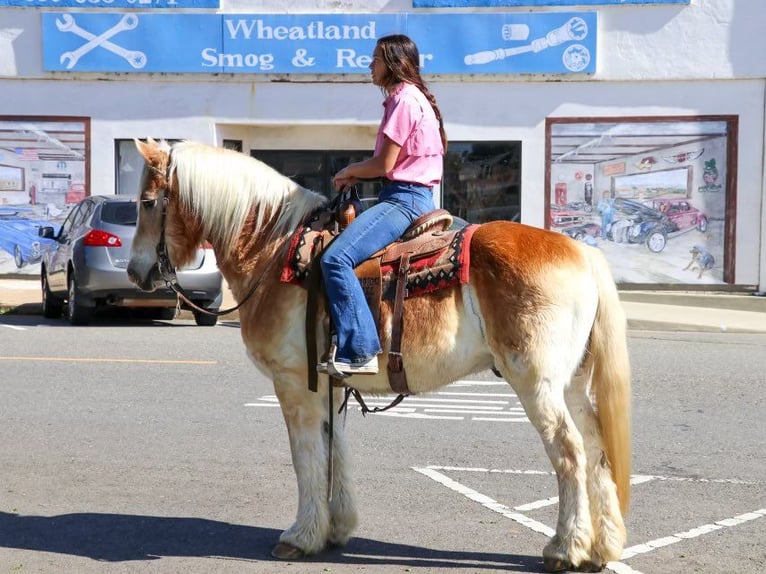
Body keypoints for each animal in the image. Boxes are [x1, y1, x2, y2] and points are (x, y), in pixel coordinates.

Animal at [124, 141, 632, 574]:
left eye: (147, 203)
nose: (135, 271)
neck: (272, 250)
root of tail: (582, 252)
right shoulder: (330, 387)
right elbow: (336, 450)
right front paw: (337, 528)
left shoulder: (293, 385)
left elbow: (306, 457)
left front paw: (301, 536)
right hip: (572, 385)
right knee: (596, 449)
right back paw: (603, 547)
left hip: (536, 382)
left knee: (569, 451)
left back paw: (566, 548)